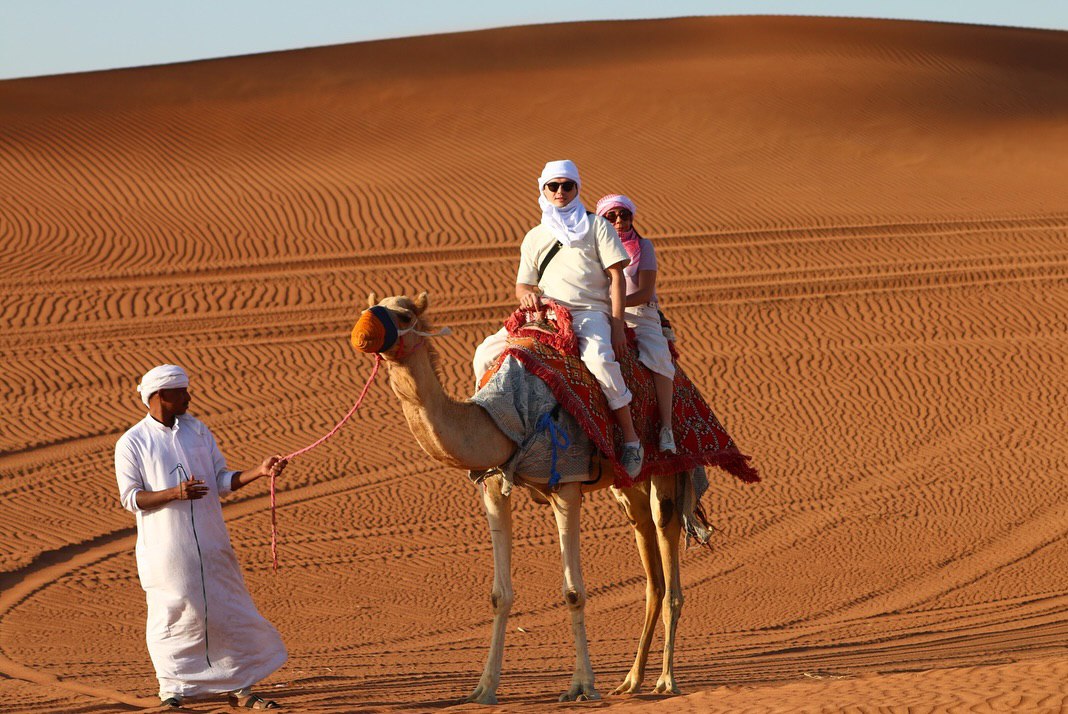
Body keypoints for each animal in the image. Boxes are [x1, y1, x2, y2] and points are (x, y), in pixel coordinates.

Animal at [350, 291, 712, 704]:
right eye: (370, 307)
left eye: (405, 316)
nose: (362, 334)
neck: (503, 417)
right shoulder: (493, 486)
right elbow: (499, 595)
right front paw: (483, 689)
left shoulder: (566, 482)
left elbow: (573, 592)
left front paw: (582, 686)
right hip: (626, 486)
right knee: (652, 570)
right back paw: (631, 680)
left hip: (667, 469)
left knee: (668, 558)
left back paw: (666, 681)